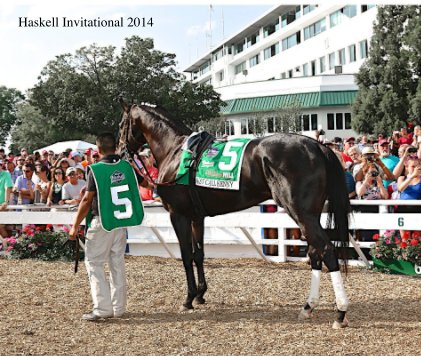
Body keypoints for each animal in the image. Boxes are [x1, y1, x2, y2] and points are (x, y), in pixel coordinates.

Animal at [118, 100, 352, 328]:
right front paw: (201, 294)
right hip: (310, 214)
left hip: (301, 212)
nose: (119, 153)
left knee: (326, 250)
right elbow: (198, 254)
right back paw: (308, 306)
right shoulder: (197, 217)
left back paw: (340, 313)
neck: (175, 151)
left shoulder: (178, 215)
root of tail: (318, 147)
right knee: (315, 252)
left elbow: (186, 255)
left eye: (121, 125)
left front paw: (189, 298)